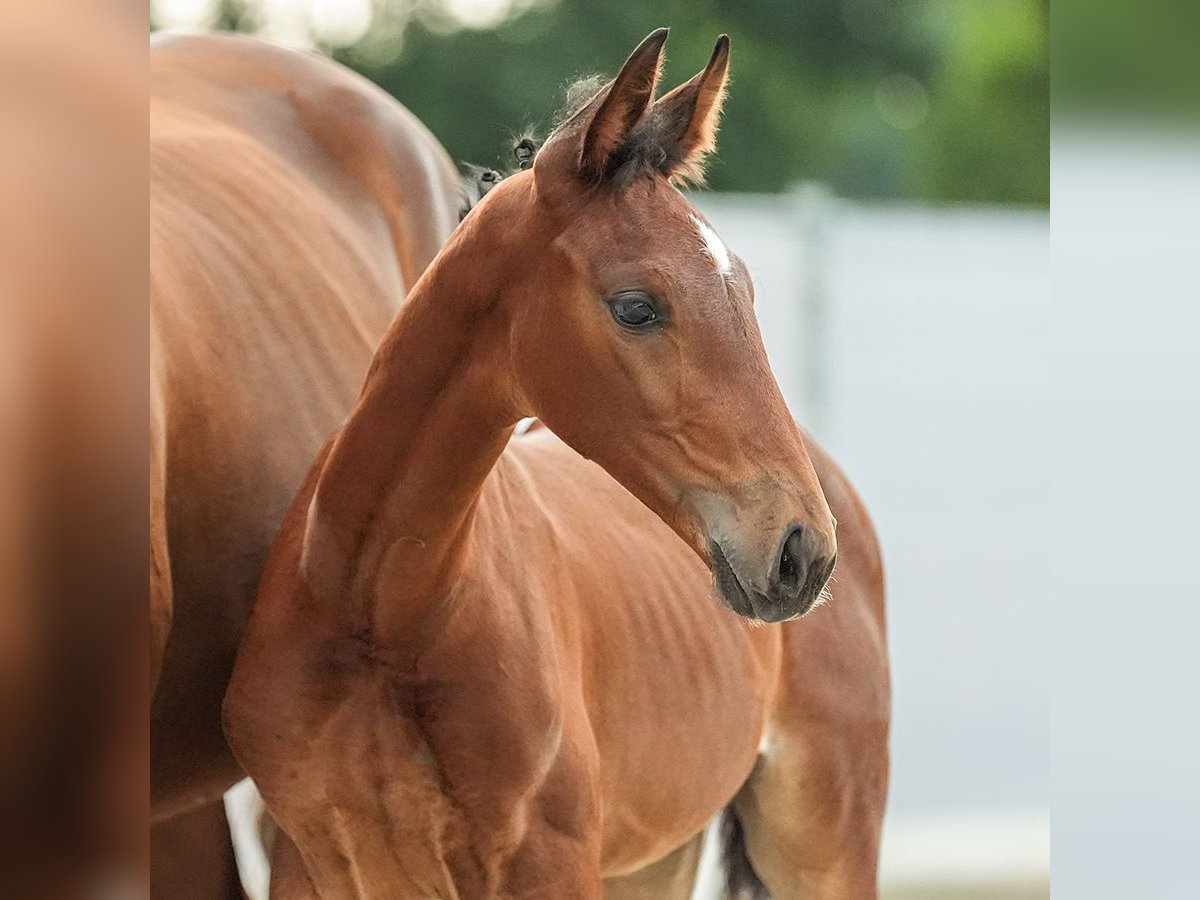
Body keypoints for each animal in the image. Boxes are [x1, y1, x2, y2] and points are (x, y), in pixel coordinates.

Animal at [225, 30, 892, 900]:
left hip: (823, 834)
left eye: (744, 290)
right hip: (656, 856)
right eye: (636, 307)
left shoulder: (550, 861)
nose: (800, 551)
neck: (379, 607)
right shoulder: (307, 862)